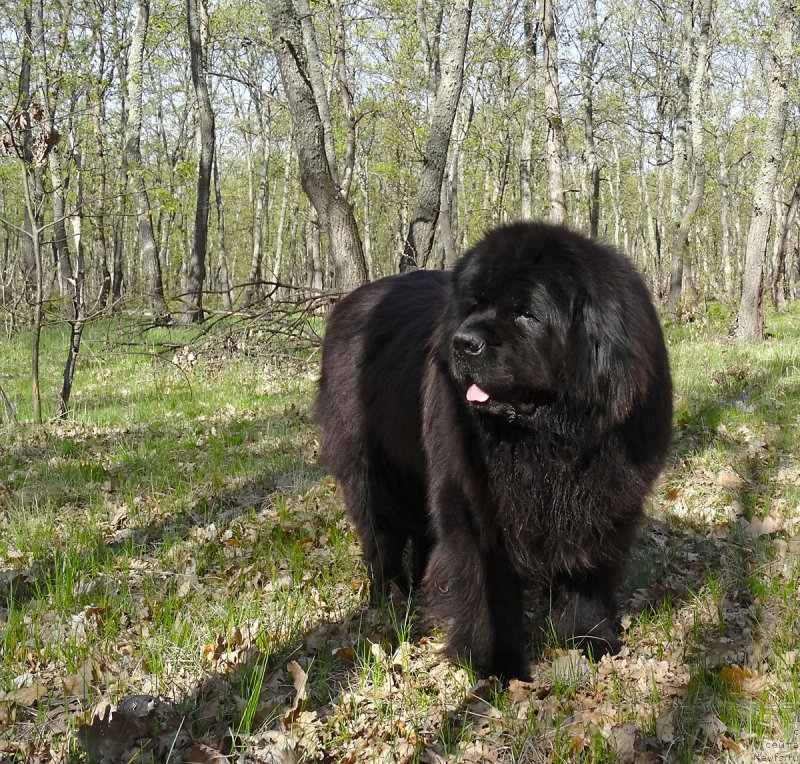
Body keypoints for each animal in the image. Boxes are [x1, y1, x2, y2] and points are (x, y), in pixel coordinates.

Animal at [316, 222, 672, 680]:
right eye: (474, 305)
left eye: (525, 313)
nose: (464, 343)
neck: (548, 441)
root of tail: (349, 302)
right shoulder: (474, 502)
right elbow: (486, 585)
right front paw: (494, 664)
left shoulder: (605, 501)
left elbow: (588, 573)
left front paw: (588, 639)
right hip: (371, 468)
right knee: (381, 531)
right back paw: (388, 595)